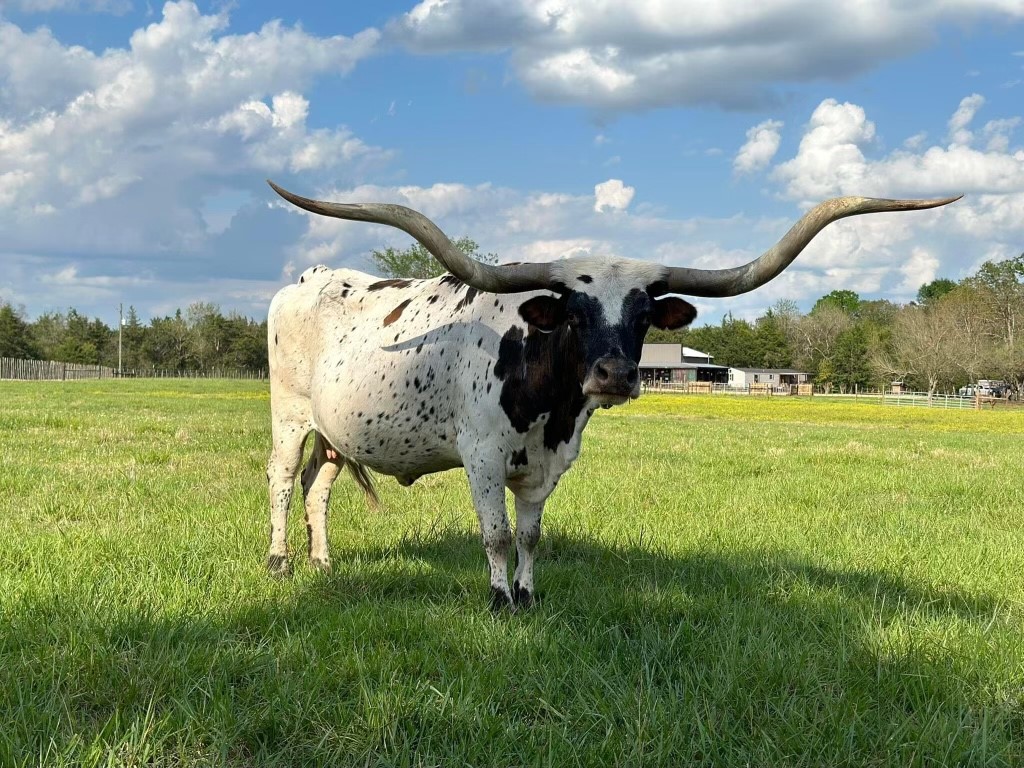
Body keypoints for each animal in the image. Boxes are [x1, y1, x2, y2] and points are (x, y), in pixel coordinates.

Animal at [264, 180, 959, 610]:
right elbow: (495, 535)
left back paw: (322, 563)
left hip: (334, 434)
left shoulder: (549, 463)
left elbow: (530, 535)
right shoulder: (482, 455)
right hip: (289, 416)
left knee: (318, 488)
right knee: (281, 479)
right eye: (574, 311)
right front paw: (497, 600)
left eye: (644, 313)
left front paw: (527, 596)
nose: (616, 375)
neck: (551, 402)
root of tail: (309, 277)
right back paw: (279, 562)